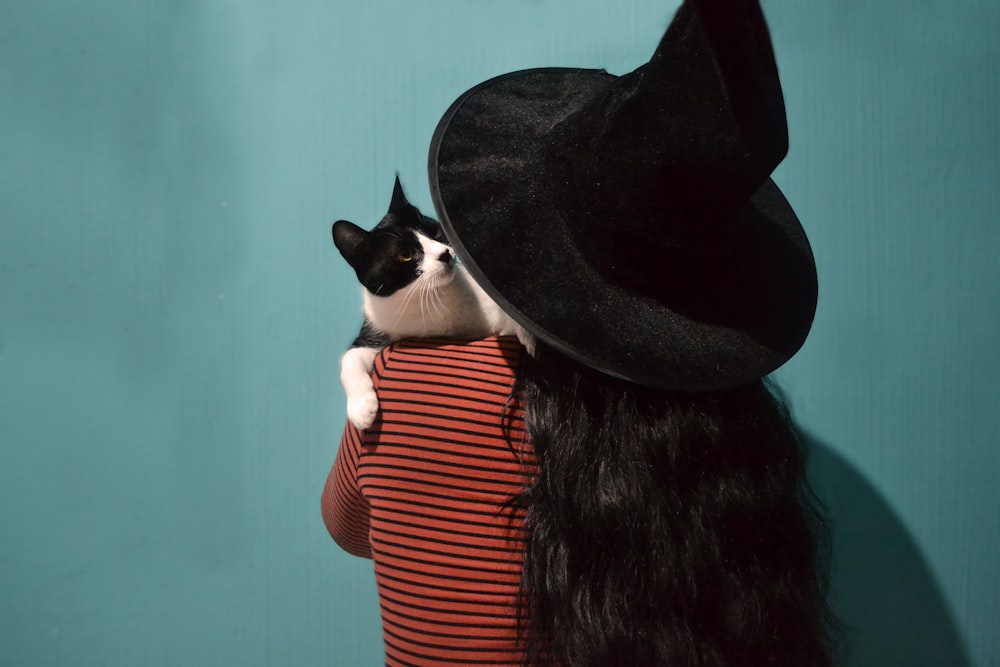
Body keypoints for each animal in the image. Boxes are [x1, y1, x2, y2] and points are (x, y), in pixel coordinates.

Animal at [334, 177, 528, 428]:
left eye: (434, 230)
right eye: (405, 254)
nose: (444, 253)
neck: (427, 301)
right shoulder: (378, 327)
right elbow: (350, 357)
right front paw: (361, 409)